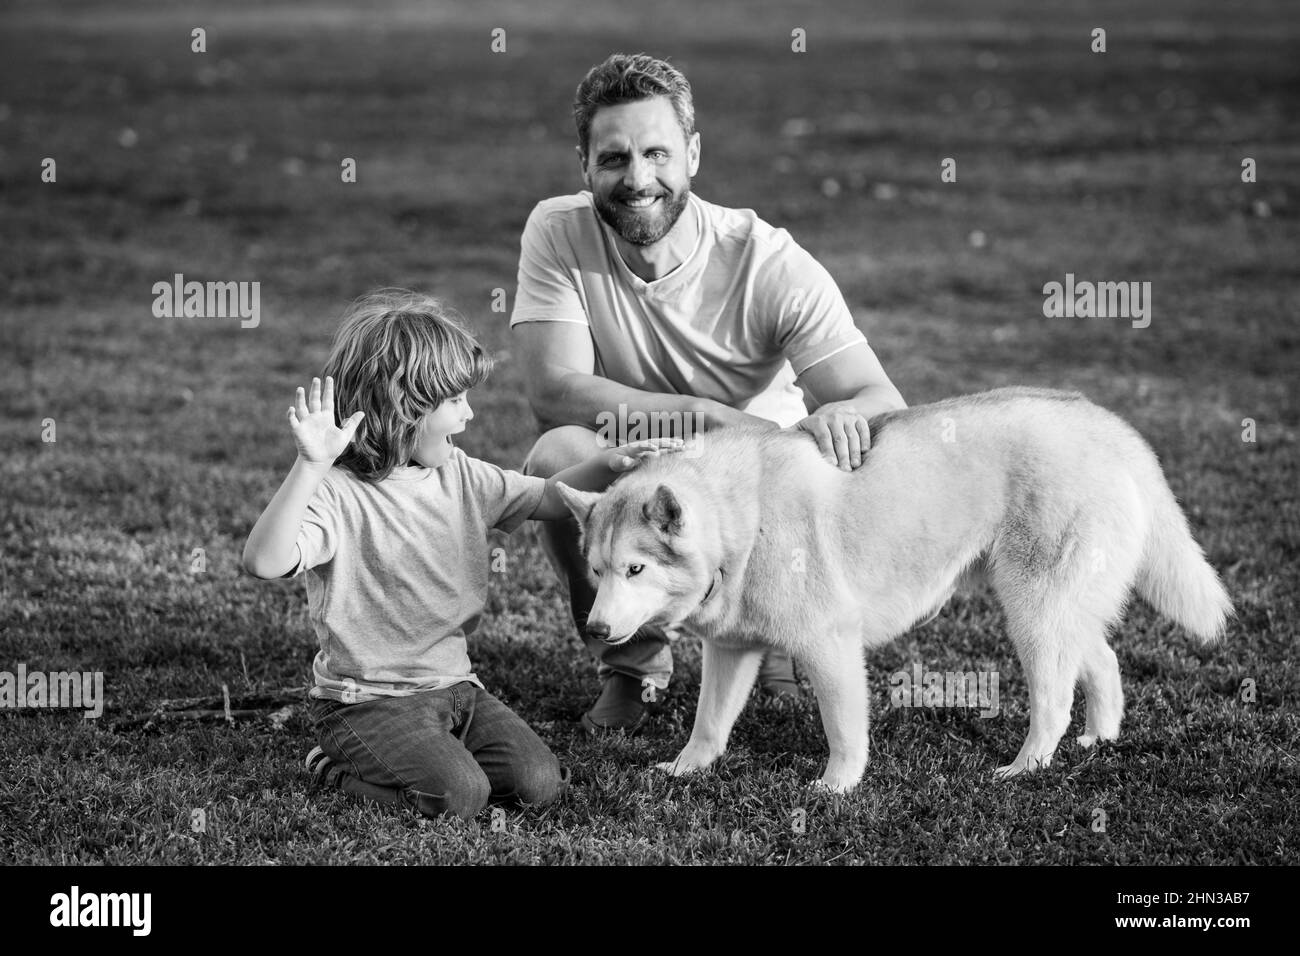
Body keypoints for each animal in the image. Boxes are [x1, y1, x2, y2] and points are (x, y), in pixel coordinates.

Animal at [556, 385, 1227, 790]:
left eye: (635, 570)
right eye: (597, 571)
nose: (596, 628)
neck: (740, 517)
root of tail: (1104, 421)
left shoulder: (829, 643)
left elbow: (843, 729)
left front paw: (837, 787)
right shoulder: (730, 649)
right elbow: (709, 724)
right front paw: (686, 769)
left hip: (1032, 610)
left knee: (1055, 700)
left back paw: (1026, 766)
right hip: (1056, 606)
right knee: (1105, 660)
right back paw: (1099, 740)